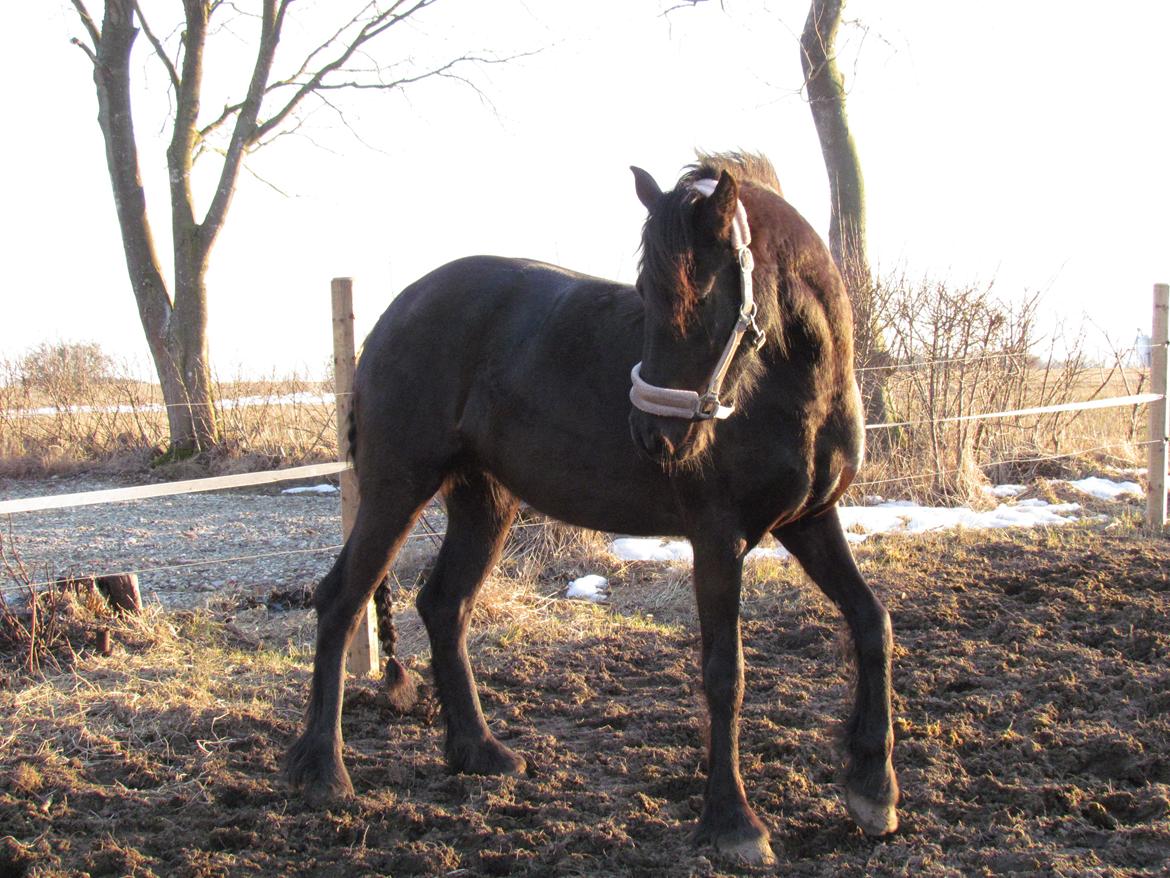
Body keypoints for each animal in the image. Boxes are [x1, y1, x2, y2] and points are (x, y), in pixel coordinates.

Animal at [287, 153, 898, 866]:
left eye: (705, 292)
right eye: (646, 290)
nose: (654, 436)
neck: (793, 389)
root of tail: (395, 313)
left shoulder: (810, 521)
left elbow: (872, 622)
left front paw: (874, 789)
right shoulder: (718, 539)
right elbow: (726, 674)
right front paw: (734, 824)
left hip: (484, 501)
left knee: (444, 605)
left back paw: (479, 753)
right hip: (396, 488)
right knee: (341, 600)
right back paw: (323, 772)